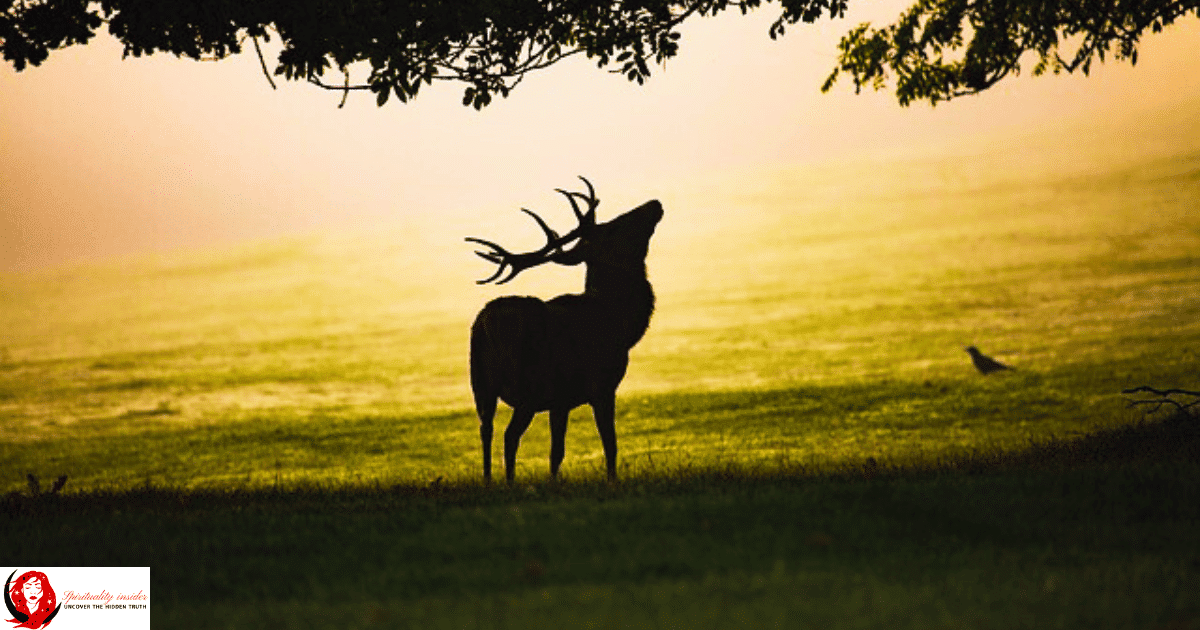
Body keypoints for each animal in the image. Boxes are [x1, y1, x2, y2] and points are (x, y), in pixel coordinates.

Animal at [467, 177, 663, 483]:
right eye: (614, 226)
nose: (654, 203)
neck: (620, 325)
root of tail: (487, 324)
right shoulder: (600, 386)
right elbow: (609, 444)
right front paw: (611, 481)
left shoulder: (561, 400)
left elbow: (556, 452)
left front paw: (553, 482)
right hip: (528, 384)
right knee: (509, 436)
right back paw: (509, 482)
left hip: (480, 382)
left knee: (486, 430)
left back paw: (489, 481)